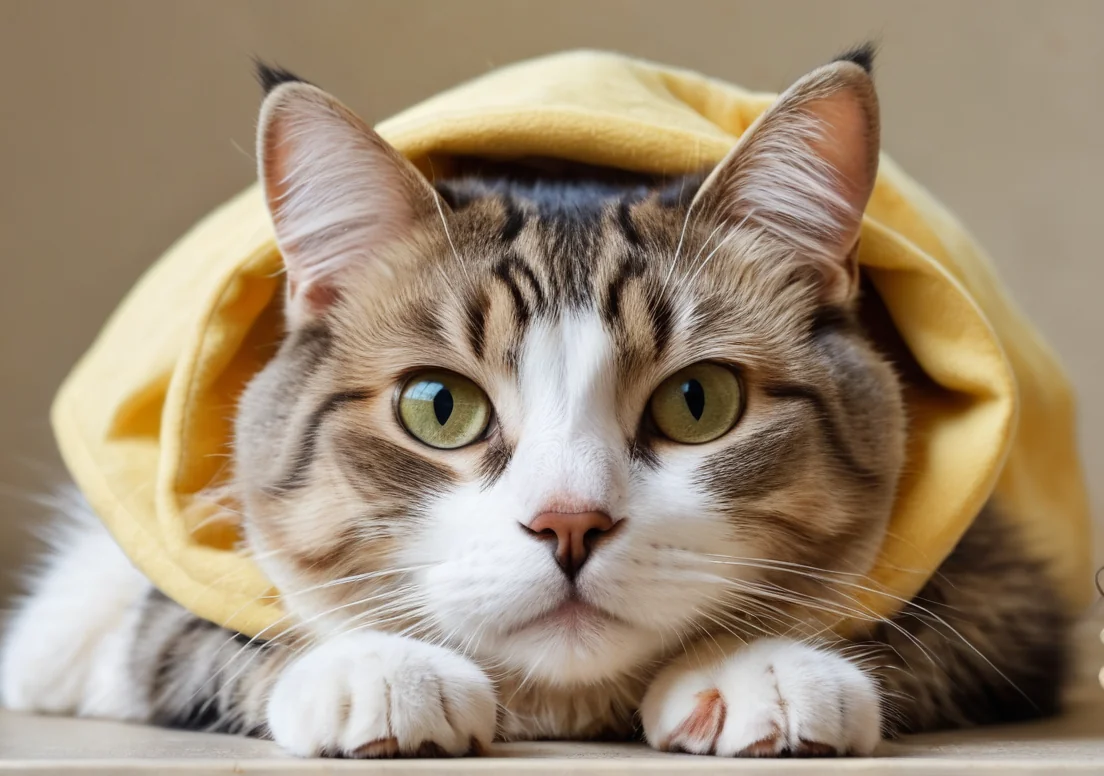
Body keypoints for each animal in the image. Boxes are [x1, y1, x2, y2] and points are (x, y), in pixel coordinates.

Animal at [0, 48, 1068, 759]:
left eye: (698, 400)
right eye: (438, 407)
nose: (568, 524)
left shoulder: (1008, 582)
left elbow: (916, 619)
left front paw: (762, 667)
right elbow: (192, 628)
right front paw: (377, 669)